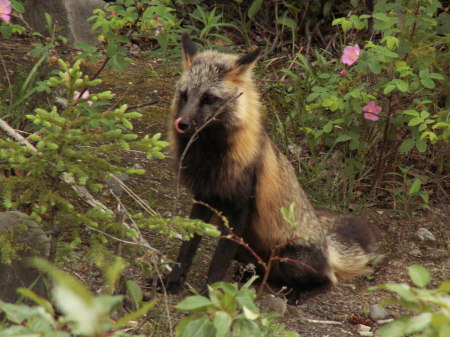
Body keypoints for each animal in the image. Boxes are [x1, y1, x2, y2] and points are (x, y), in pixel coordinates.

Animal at [163, 33, 378, 302]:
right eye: (184, 95)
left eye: (208, 98)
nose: (181, 124)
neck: (210, 158)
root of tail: (328, 249)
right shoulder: (203, 198)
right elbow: (188, 246)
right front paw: (172, 281)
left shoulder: (239, 207)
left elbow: (218, 263)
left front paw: (211, 296)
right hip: (247, 250)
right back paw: (252, 278)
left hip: (288, 258)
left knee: (330, 280)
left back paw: (298, 293)